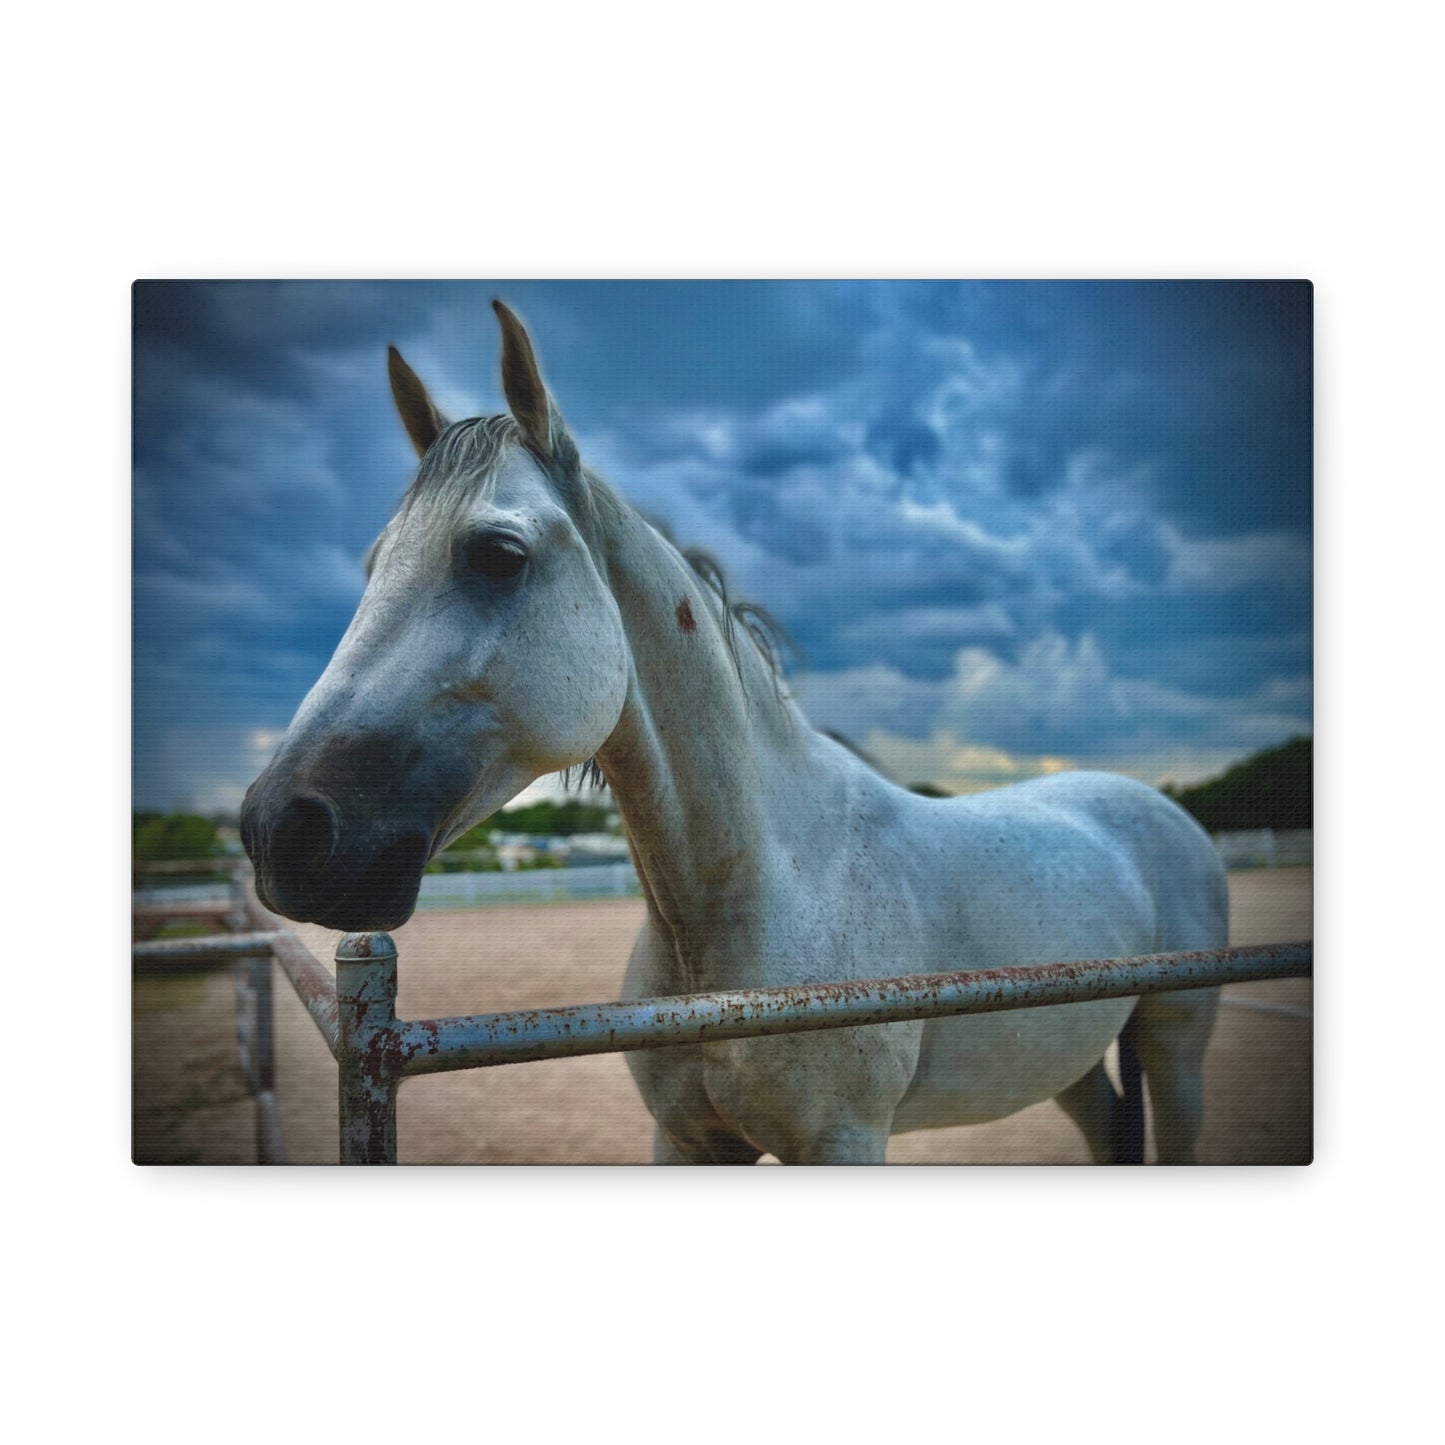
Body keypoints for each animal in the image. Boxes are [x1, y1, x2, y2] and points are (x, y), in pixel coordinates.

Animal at [241, 300, 1228, 1165]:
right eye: (375, 564)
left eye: (497, 555)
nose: (279, 829)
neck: (763, 892)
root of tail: (1155, 811)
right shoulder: (684, 1141)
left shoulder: (844, 1142)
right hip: (1067, 1060)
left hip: (1176, 1046)